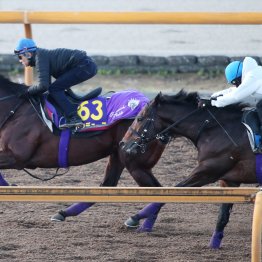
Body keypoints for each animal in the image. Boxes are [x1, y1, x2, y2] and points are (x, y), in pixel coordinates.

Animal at [0, 74, 167, 222]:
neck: (17, 111)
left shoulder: (17, 157)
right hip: (119, 154)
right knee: (107, 185)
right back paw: (63, 214)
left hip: (135, 162)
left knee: (158, 191)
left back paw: (139, 220)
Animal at [120, 90, 258, 248]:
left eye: (139, 118)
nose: (123, 143)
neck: (213, 129)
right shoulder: (229, 181)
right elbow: (223, 216)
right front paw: (214, 244)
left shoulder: (207, 172)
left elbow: (173, 192)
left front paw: (136, 218)